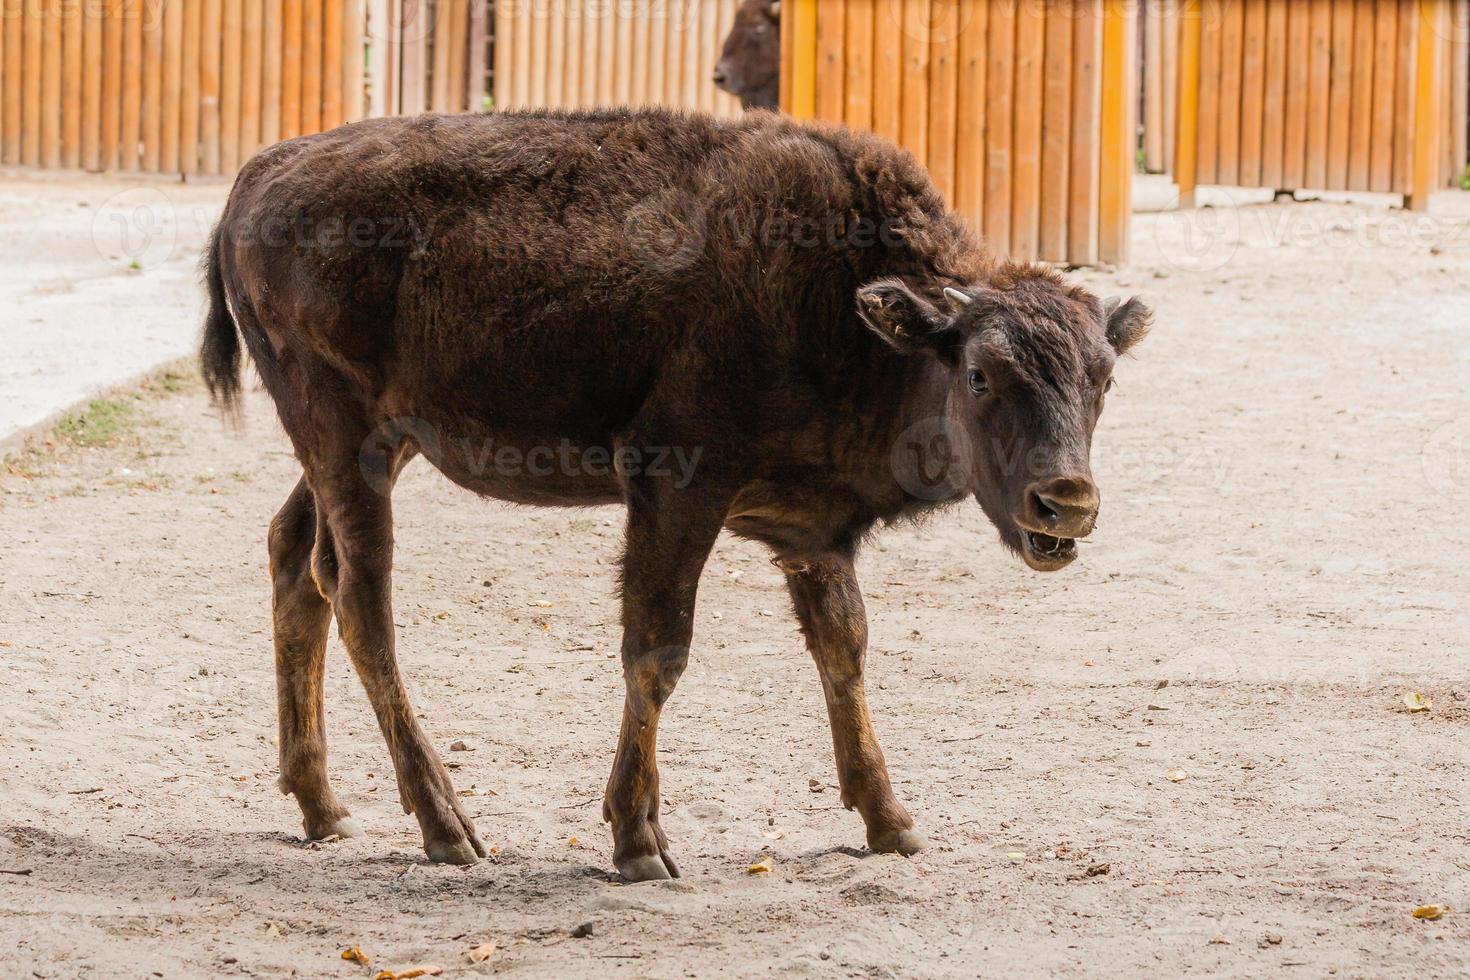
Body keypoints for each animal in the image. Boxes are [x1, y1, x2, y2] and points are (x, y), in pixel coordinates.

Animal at [204, 107, 1146, 881]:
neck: (849, 303)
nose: (1066, 502)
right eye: (981, 373)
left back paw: (324, 808)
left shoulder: (813, 536)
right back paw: (448, 829)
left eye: (1103, 378)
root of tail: (257, 176)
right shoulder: (675, 488)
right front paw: (638, 843)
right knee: (360, 597)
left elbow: (842, 650)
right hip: (346, 440)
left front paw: (891, 823)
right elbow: (658, 651)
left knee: (294, 559)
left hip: (375, 446)